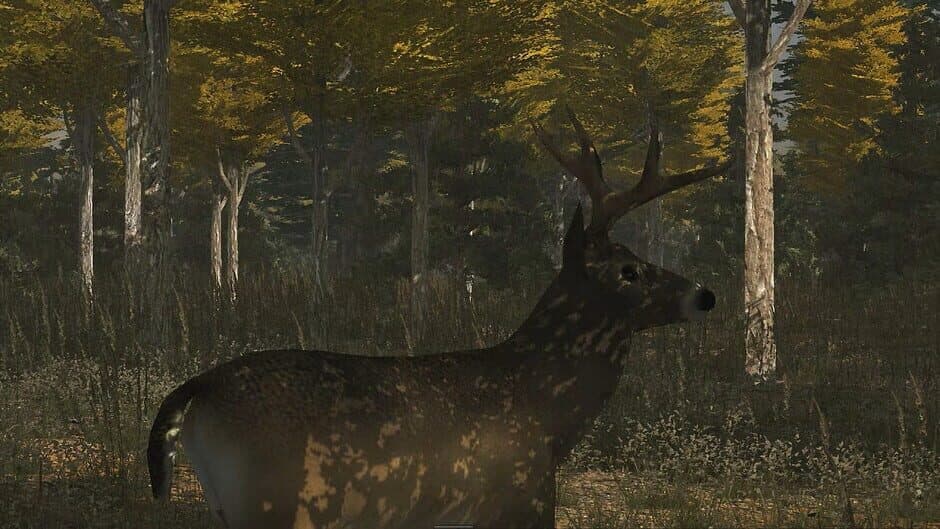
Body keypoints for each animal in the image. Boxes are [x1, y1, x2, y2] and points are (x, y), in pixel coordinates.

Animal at [147, 108, 728, 529]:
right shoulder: (521, 500)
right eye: (629, 269)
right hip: (274, 503)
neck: (545, 413)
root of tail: (196, 389)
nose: (704, 295)